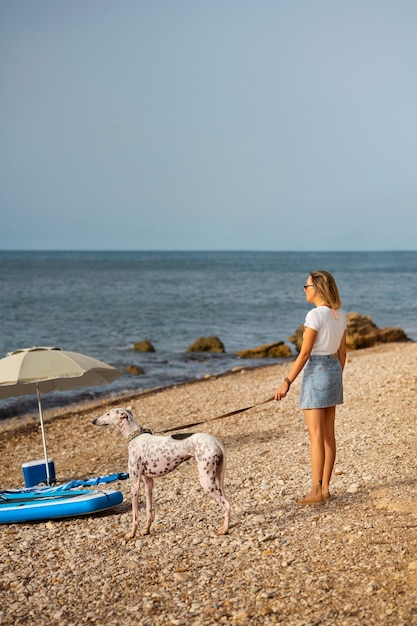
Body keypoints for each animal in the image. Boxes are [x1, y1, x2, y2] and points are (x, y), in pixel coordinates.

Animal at [92, 408, 231, 540]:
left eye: (108, 413)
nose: (93, 421)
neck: (135, 437)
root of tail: (217, 441)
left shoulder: (135, 484)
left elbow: (135, 514)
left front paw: (131, 534)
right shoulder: (148, 483)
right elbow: (149, 511)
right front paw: (146, 530)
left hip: (206, 480)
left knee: (227, 505)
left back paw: (225, 529)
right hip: (216, 479)